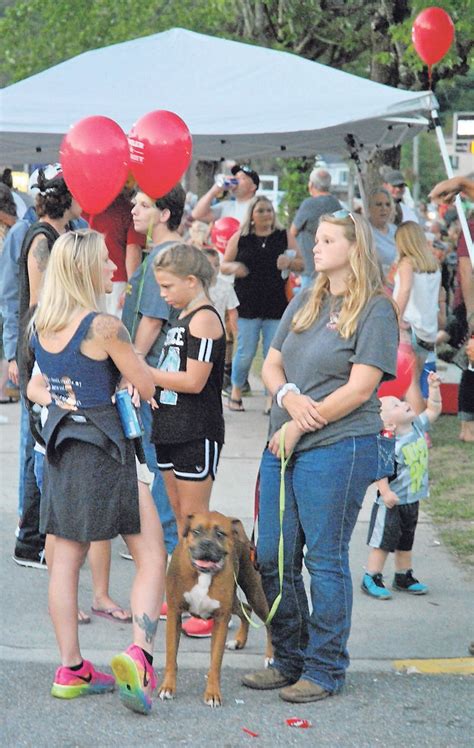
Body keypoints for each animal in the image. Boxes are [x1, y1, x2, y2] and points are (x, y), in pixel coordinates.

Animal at [157, 508, 272, 708]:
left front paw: (212, 693)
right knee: (246, 609)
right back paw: (239, 641)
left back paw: (270, 656)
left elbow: (215, 662)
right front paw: (168, 688)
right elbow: (171, 656)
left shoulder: (221, 620)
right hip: (234, 602)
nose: (207, 543)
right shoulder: (174, 614)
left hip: (255, 593)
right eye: (196, 531)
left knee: (269, 622)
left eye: (220, 534)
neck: (203, 574)